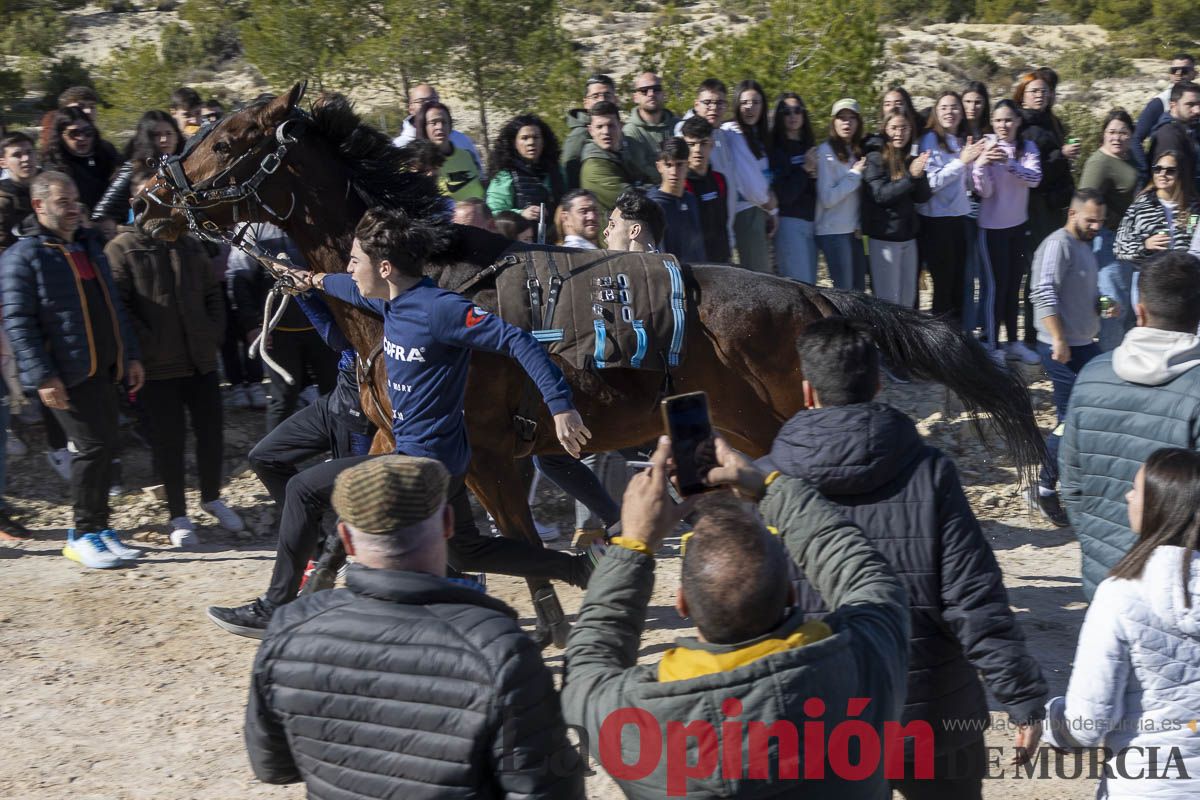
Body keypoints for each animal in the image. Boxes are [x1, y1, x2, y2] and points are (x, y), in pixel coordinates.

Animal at [136, 81, 1046, 647]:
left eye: (231, 138)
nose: (147, 202)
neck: (415, 283)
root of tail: (814, 297)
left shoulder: (483, 453)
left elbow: (498, 545)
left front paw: (575, 584)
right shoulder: (418, 448)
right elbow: (371, 532)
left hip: (780, 419)